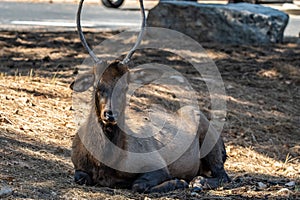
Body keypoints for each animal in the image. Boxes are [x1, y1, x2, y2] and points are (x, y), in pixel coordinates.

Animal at [70, 0, 230, 193]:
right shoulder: (77, 166)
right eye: (97, 86)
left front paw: (178, 182)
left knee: (223, 176)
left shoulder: (157, 164)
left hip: (212, 144)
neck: (105, 162)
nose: (110, 114)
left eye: (125, 87)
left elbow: (139, 184)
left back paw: (197, 182)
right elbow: (80, 177)